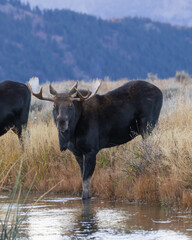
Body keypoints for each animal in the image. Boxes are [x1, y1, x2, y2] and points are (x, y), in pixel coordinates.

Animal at [27, 78, 162, 200]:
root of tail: (160, 92)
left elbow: (86, 180)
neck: (73, 131)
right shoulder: (77, 153)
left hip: (148, 128)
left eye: (70, 105)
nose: (61, 122)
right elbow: (83, 177)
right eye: (54, 105)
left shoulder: (91, 151)